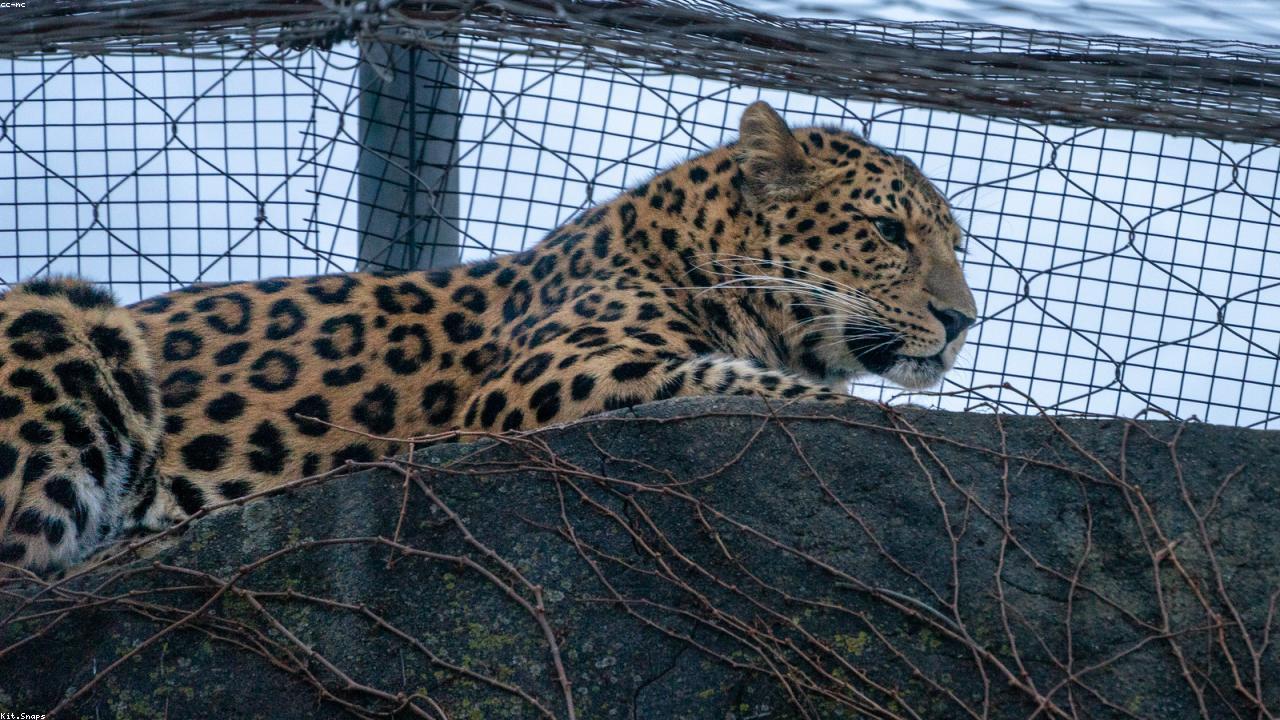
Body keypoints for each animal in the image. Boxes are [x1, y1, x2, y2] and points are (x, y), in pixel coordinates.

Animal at [0, 101, 976, 576]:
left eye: (958, 244)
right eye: (888, 232)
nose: (967, 320)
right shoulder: (553, 381)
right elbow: (755, 386)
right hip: (58, 316)